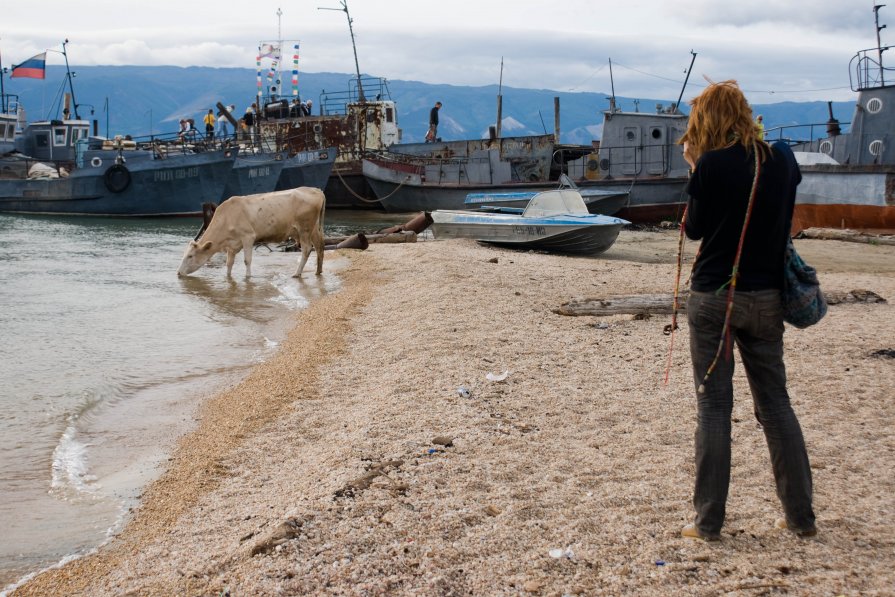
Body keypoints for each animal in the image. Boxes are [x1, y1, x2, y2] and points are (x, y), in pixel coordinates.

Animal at [178, 187, 326, 278]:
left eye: (190, 256)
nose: (178, 273)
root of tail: (315, 190)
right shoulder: (232, 245)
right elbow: (229, 263)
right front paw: (228, 277)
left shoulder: (248, 236)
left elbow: (247, 260)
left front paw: (248, 277)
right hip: (313, 229)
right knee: (319, 246)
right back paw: (318, 271)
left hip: (304, 228)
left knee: (307, 249)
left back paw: (297, 273)